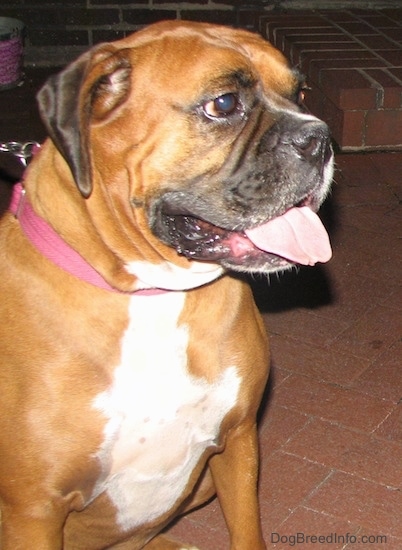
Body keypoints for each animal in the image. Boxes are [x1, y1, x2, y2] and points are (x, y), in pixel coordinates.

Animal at [0, 19, 332, 548]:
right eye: (223, 104)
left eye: (299, 92)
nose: (320, 138)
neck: (152, 296)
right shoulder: (33, 512)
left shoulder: (238, 440)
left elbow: (247, 530)